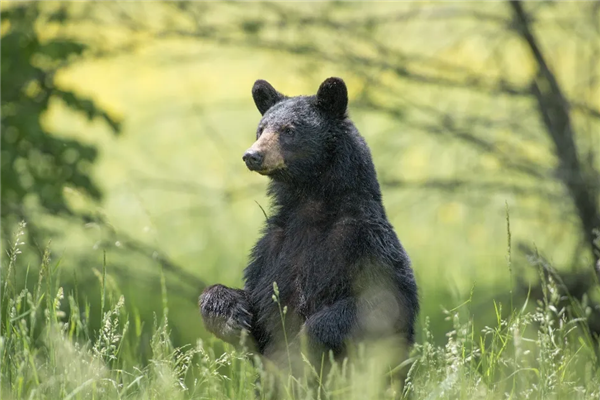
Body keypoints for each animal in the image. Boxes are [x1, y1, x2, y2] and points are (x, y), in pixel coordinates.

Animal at [199, 77, 420, 376]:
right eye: (261, 129)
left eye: (289, 130)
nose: (252, 155)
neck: (310, 208)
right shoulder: (271, 249)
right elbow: (258, 298)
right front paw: (230, 315)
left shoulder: (366, 241)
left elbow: (383, 300)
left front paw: (307, 342)